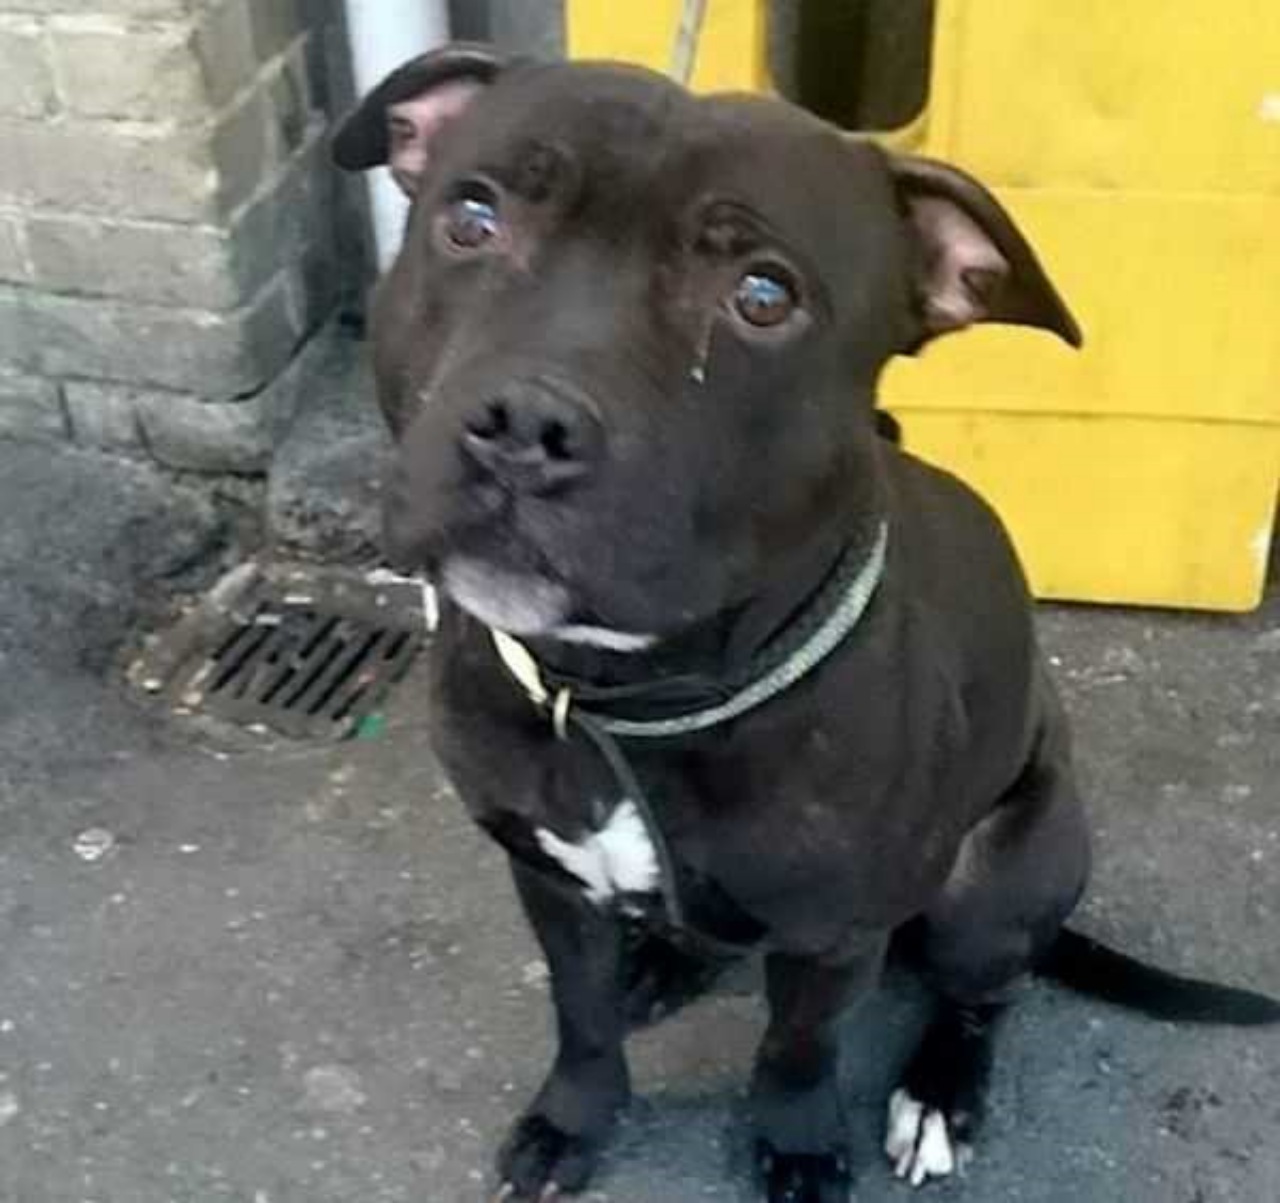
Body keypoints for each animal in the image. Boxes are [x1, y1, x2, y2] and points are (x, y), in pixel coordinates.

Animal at [332, 42, 1280, 1197]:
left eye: (762, 295)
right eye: (471, 216)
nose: (524, 426)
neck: (625, 692)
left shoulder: (834, 934)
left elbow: (796, 1045)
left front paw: (794, 1141)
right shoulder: (548, 881)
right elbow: (580, 1014)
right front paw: (574, 1116)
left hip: (998, 877)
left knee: (982, 994)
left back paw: (940, 1091)